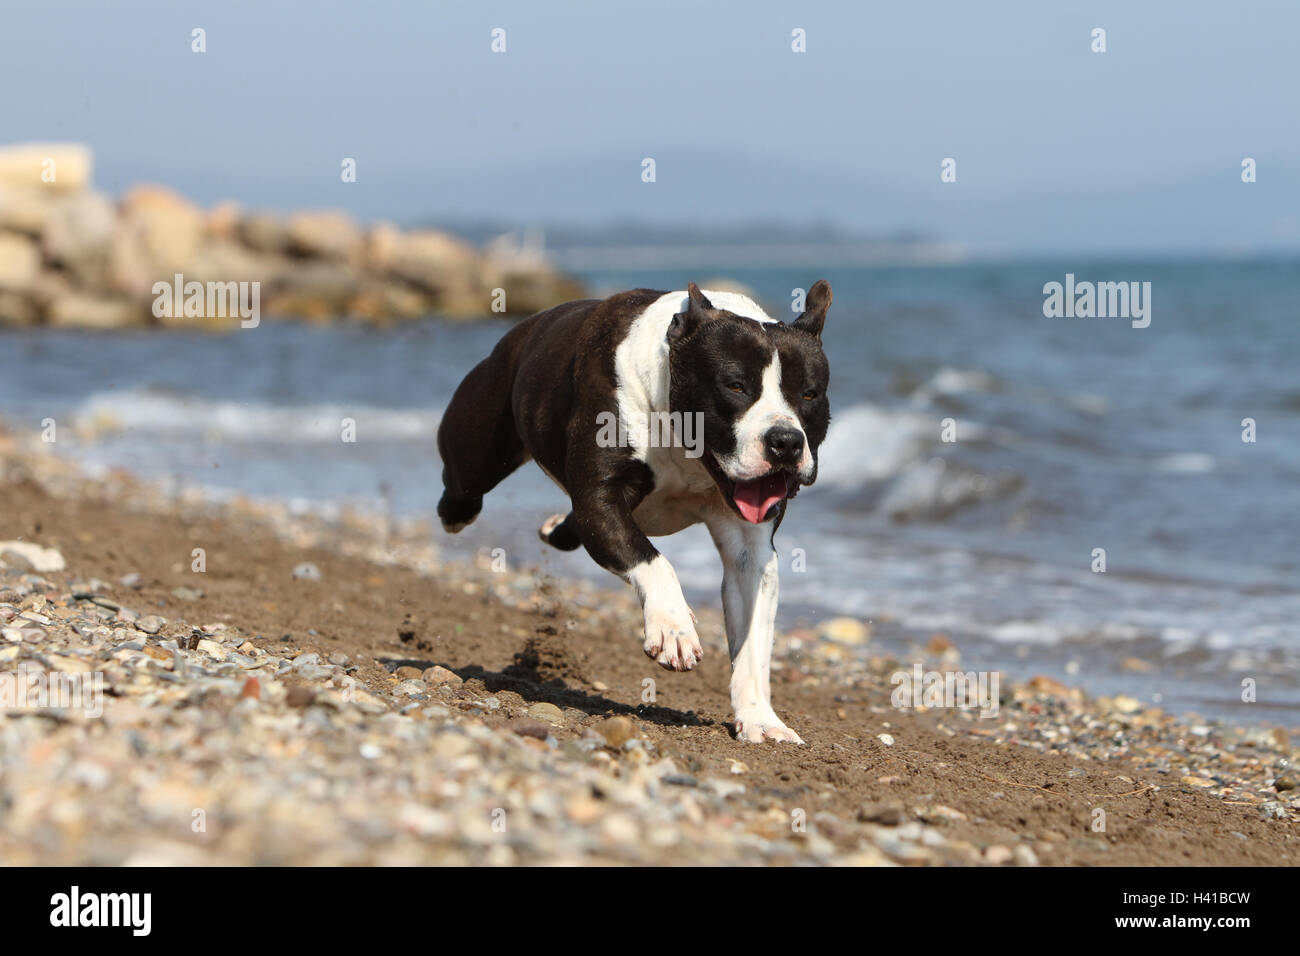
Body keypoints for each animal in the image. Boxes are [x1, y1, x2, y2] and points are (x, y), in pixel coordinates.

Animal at [436, 280, 832, 743]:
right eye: (735, 386)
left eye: (809, 394)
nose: (785, 441)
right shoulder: (600, 501)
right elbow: (653, 561)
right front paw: (674, 626)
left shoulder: (750, 552)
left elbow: (752, 644)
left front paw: (761, 720)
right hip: (475, 446)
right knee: (462, 489)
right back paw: (456, 512)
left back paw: (556, 529)